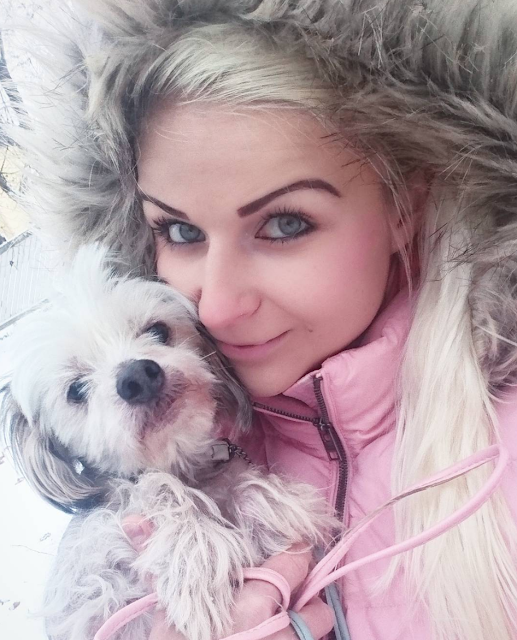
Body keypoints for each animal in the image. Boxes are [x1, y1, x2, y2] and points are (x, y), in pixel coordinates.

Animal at [1, 245, 336, 640]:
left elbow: (247, 485)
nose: (137, 376)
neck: (183, 466)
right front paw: (195, 559)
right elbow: (153, 487)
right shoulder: (96, 586)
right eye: (75, 390)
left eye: (158, 331)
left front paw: (275, 509)